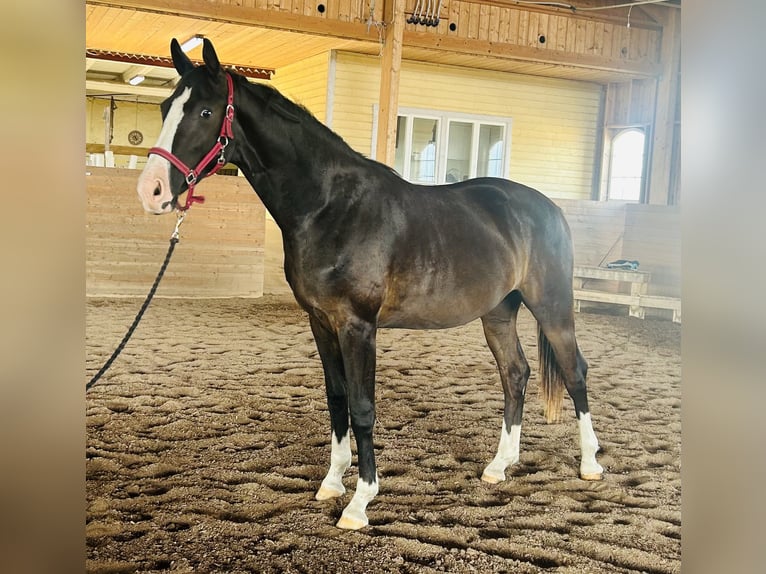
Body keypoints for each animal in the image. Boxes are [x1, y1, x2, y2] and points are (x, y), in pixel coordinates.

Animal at [137, 38, 603, 530]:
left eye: (205, 112)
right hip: (498, 312)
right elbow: (337, 398)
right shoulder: (321, 323)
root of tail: (547, 208)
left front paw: (360, 501)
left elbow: (362, 408)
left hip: (552, 307)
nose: (151, 190)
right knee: (515, 374)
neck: (330, 207)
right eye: (166, 107)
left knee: (574, 371)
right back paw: (499, 465)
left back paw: (590, 463)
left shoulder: (358, 326)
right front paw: (332, 482)